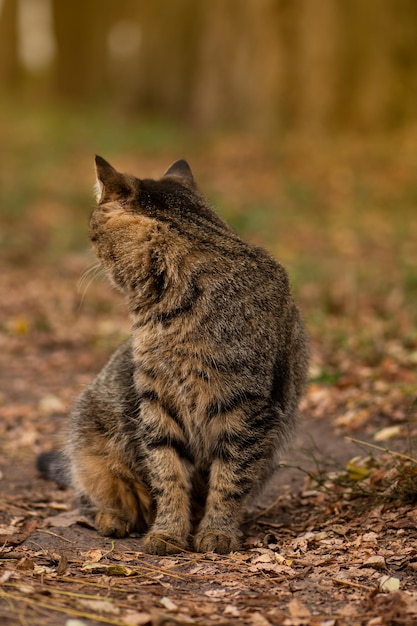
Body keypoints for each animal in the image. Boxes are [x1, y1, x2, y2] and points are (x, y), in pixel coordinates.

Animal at [37, 158, 308, 552]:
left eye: (92, 232)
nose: (88, 245)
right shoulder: (156, 404)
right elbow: (167, 474)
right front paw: (167, 532)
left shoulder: (245, 408)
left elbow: (230, 480)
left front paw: (217, 531)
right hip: (90, 446)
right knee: (88, 498)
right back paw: (113, 519)